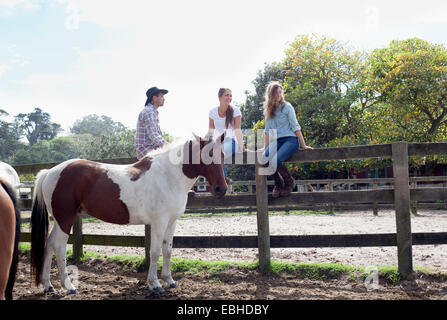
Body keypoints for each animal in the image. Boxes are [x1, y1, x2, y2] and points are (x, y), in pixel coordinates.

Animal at [30, 134, 228, 294]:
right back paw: (69, 286)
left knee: (49, 245)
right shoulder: (159, 222)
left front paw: (169, 281)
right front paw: (155, 284)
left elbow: (168, 250)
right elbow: (155, 251)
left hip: (58, 220)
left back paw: (48, 285)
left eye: (223, 155)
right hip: (65, 219)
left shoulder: (172, 222)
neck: (168, 176)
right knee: (59, 247)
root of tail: (50, 172)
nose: (221, 189)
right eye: (207, 155)